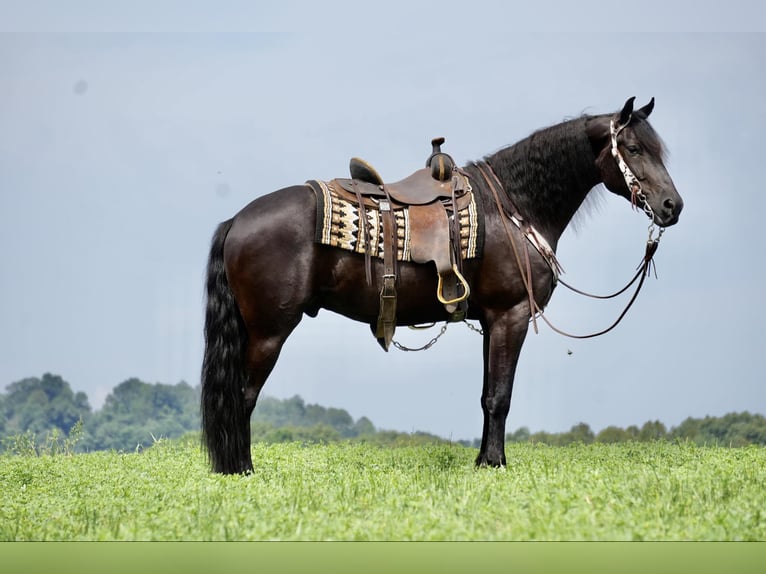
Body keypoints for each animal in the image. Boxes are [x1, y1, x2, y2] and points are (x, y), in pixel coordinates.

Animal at [201, 97, 683, 474]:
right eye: (634, 148)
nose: (671, 206)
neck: (513, 207)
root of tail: (237, 220)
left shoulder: (492, 322)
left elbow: (488, 394)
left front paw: (484, 460)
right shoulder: (511, 316)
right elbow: (501, 397)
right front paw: (496, 464)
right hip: (269, 331)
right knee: (243, 397)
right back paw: (241, 469)